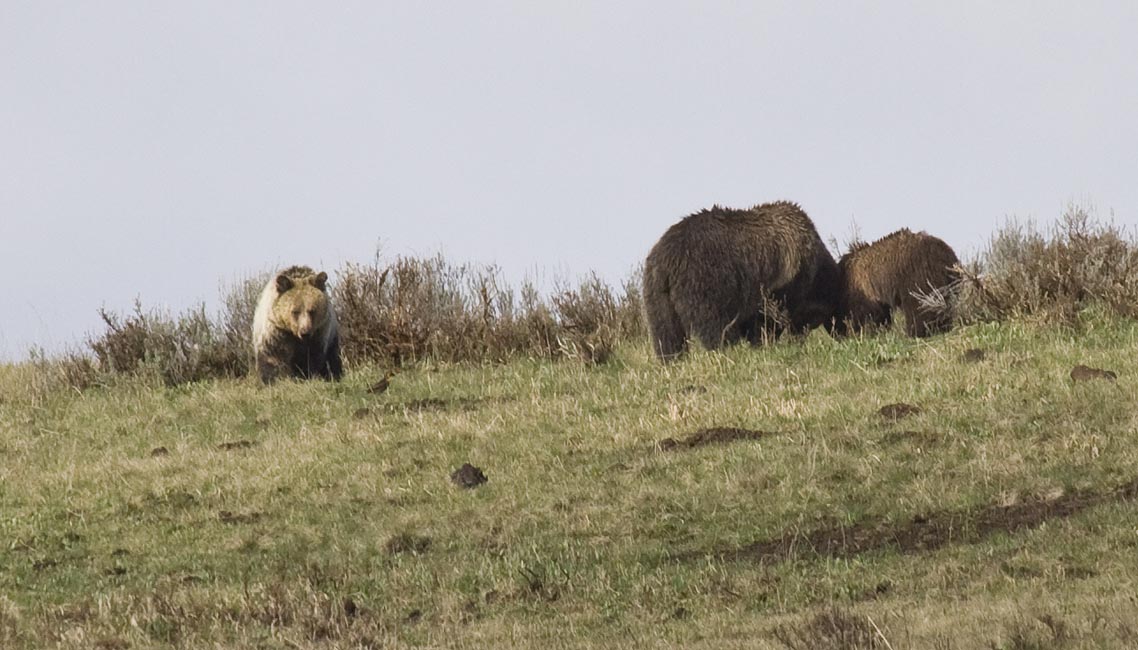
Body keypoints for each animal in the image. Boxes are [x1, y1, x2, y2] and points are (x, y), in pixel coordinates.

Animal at [646, 201, 842, 361]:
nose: (799, 338)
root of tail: (667, 258)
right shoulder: (777, 284)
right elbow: (765, 321)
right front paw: (765, 343)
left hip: (658, 293)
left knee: (666, 331)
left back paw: (672, 359)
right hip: (704, 279)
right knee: (715, 324)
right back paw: (726, 350)